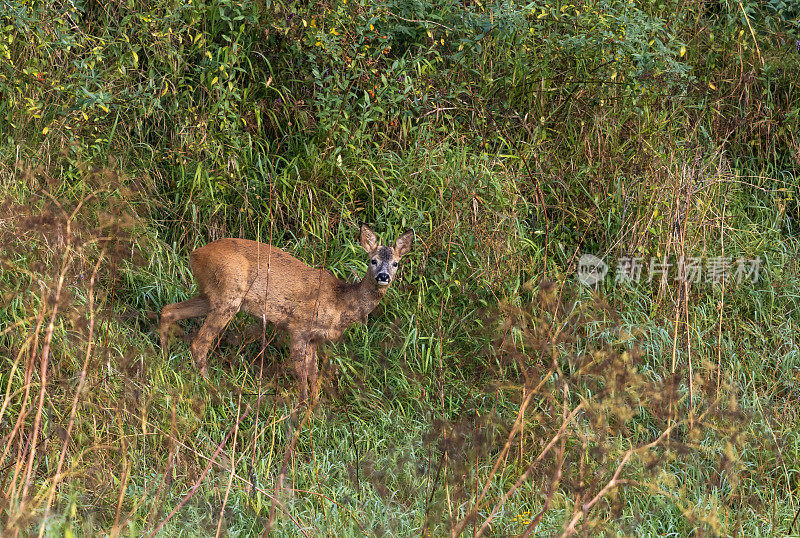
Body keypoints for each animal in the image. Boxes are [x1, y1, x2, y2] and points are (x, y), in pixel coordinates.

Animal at [159, 223, 416, 402]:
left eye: (395, 263)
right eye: (373, 260)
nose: (383, 276)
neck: (340, 302)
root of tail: (195, 254)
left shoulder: (314, 338)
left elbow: (314, 373)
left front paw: (316, 406)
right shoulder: (298, 327)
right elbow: (301, 372)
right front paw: (302, 405)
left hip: (211, 294)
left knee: (168, 311)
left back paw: (163, 359)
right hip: (228, 294)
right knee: (200, 341)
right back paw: (208, 385)